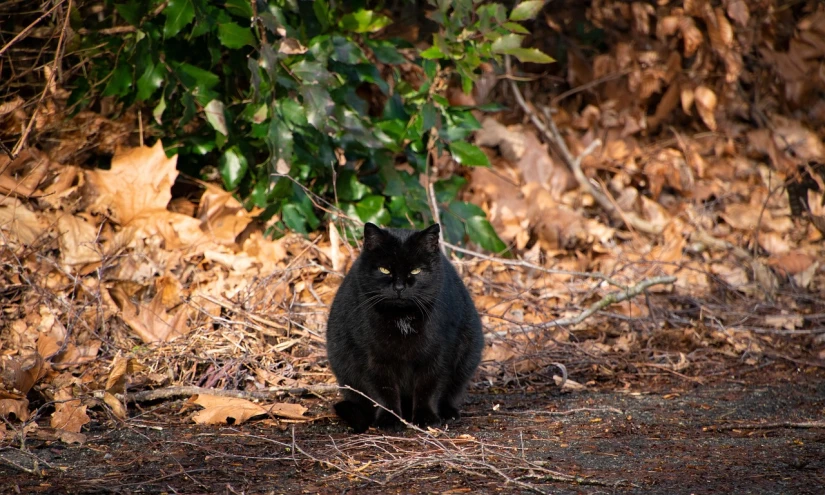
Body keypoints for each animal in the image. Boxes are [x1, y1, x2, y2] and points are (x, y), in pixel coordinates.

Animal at [326, 223, 482, 432]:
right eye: (384, 269)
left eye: (416, 270)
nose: (399, 287)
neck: (402, 318)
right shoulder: (373, 357)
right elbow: (384, 392)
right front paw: (390, 420)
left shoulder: (437, 354)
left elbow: (428, 387)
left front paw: (425, 418)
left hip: (467, 356)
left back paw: (448, 413)